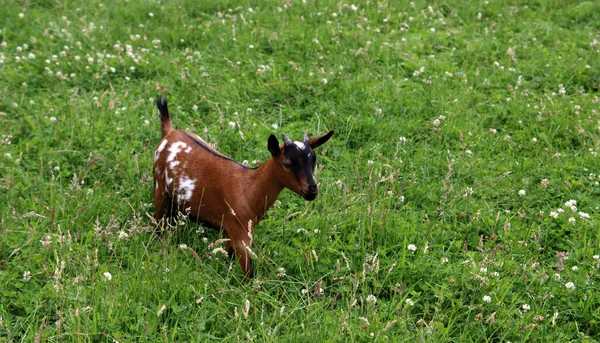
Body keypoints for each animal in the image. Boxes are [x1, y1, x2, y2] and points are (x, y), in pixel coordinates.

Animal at [151, 95, 332, 278]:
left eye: (313, 160)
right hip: (160, 189)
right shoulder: (240, 234)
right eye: (287, 163)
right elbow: (250, 273)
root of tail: (170, 132)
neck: (249, 189)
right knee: (159, 224)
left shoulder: (237, 232)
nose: (312, 190)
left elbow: (227, 256)